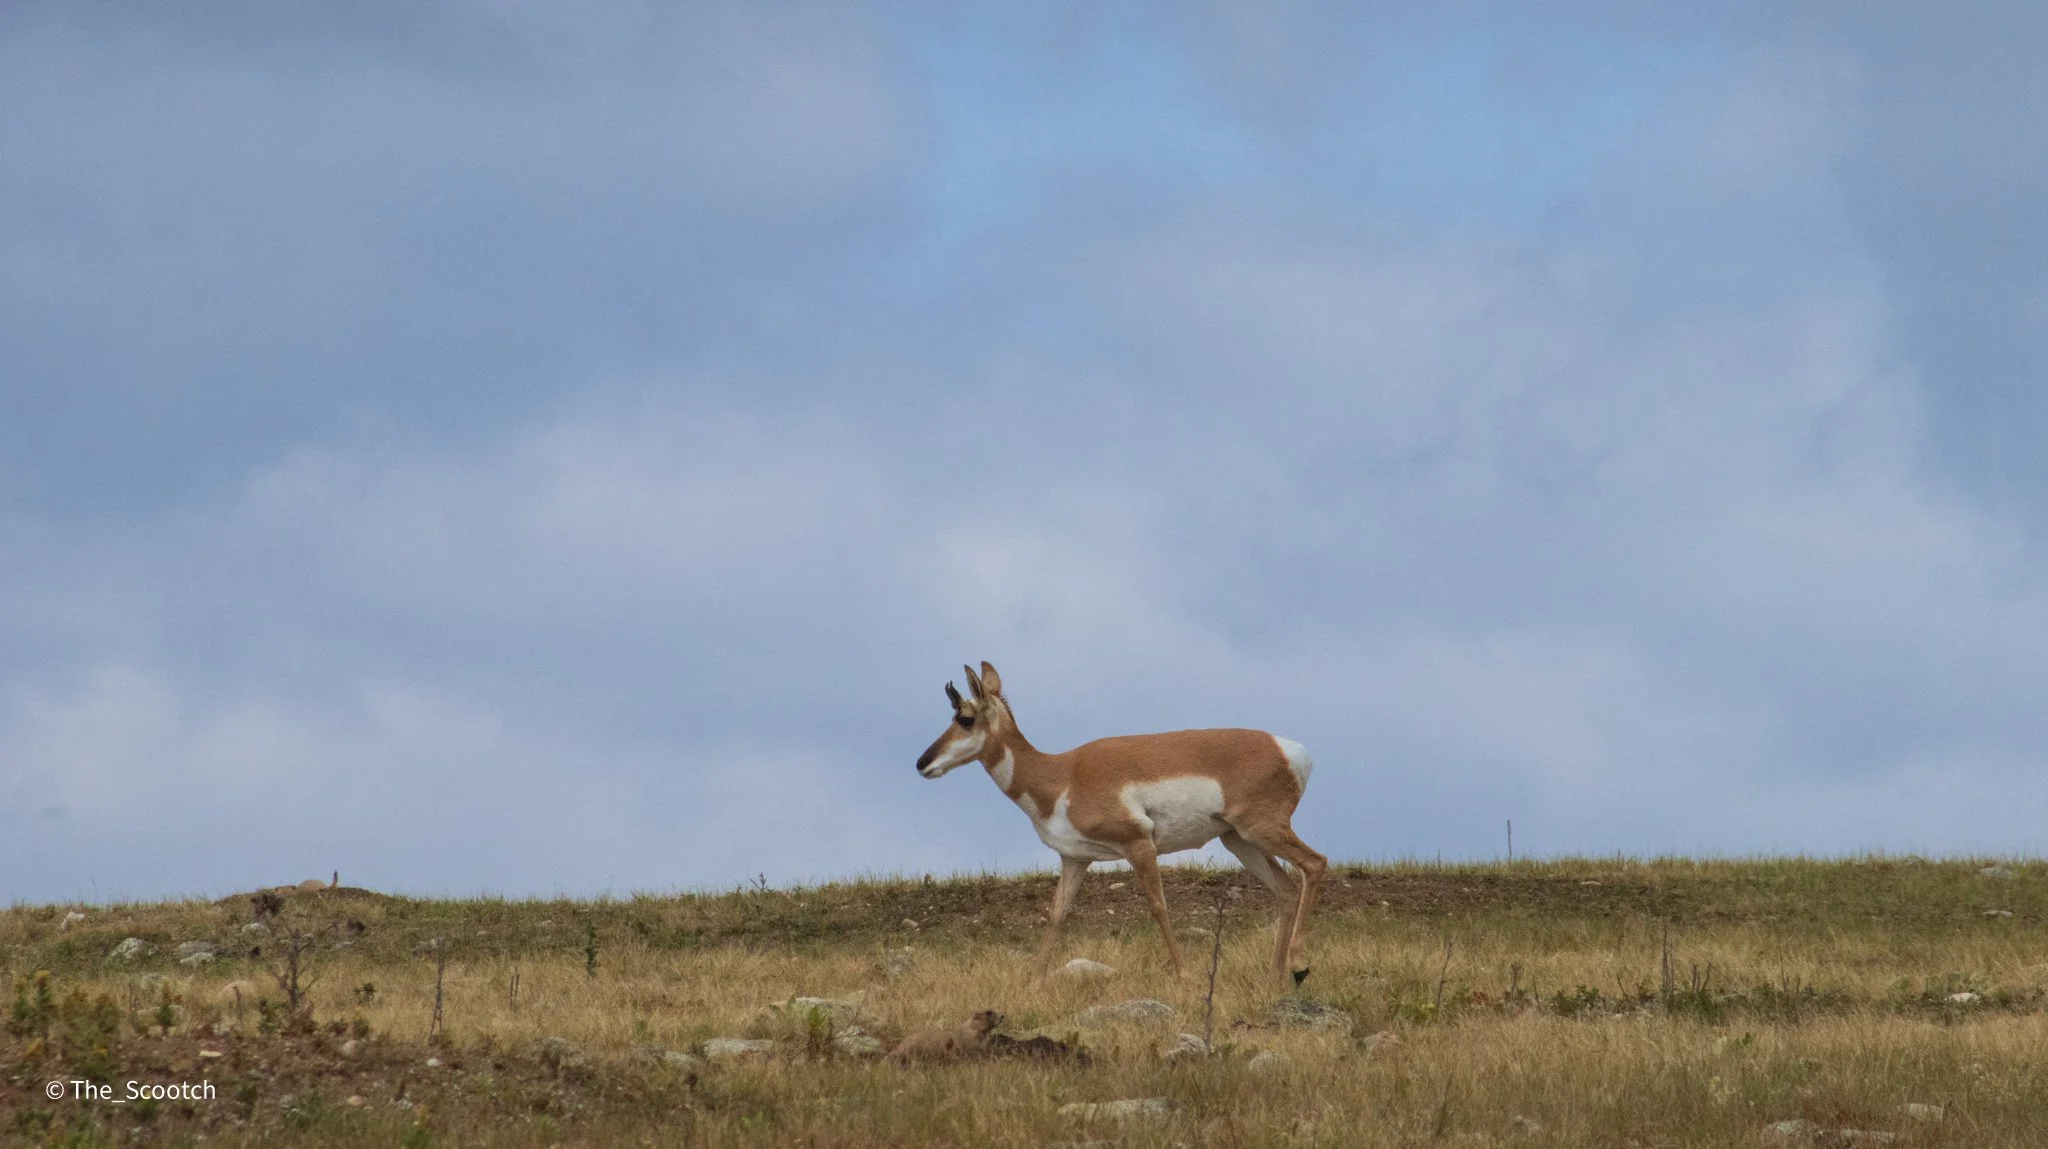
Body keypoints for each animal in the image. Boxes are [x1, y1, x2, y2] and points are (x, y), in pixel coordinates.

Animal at [916, 661, 1327, 984]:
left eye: (965, 718)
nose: (922, 763)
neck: (1061, 776)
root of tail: (1291, 750)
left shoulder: (1138, 845)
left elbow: (1158, 905)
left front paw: (1184, 974)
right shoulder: (1075, 859)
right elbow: (1056, 914)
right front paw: (1033, 983)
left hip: (1261, 829)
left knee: (1315, 863)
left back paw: (1299, 963)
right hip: (1239, 840)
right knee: (1286, 889)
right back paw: (1276, 974)